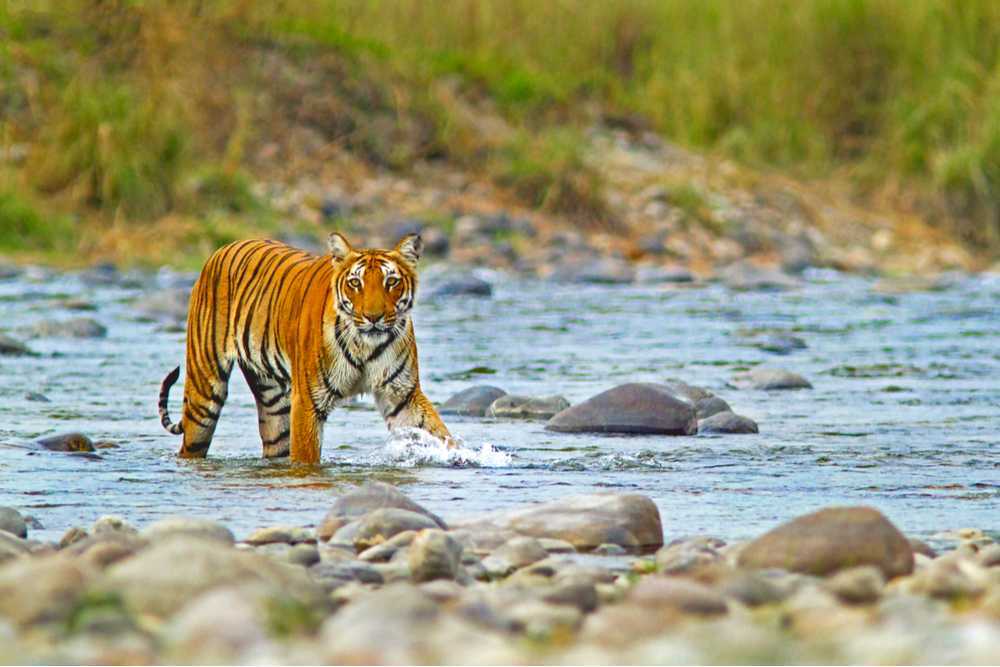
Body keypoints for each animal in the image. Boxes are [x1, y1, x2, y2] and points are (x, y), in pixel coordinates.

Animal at [157, 232, 453, 464]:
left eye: (391, 282)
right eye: (355, 283)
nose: (373, 317)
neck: (365, 345)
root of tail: (222, 248)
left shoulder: (402, 394)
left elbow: (438, 433)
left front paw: (459, 456)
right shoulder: (308, 401)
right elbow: (306, 457)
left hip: (274, 404)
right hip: (204, 393)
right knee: (192, 442)